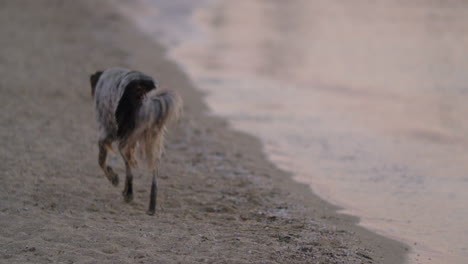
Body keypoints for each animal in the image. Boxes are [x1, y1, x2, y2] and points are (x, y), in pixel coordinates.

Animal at [90, 67, 181, 214]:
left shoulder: (106, 133)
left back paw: (129, 194)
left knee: (130, 168)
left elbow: (101, 161)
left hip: (124, 141)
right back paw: (151, 207)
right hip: (154, 140)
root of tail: (142, 88)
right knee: (154, 175)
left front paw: (114, 178)